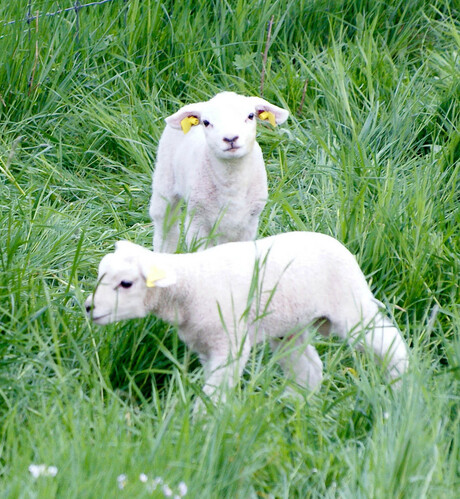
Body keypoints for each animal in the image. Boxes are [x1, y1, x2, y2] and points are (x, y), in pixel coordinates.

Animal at [84, 231, 408, 402]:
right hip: (288, 325)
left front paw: (204, 424)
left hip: (351, 308)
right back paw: (296, 403)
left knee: (389, 342)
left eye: (126, 283)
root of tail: (340, 244)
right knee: (309, 367)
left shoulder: (228, 344)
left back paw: (400, 384)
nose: (89, 308)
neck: (190, 285)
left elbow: (215, 391)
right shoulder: (207, 346)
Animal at [149, 91, 290, 252]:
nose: (230, 138)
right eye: (206, 122)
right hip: (164, 178)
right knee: (165, 226)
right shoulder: (198, 221)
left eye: (250, 116)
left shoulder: (249, 222)